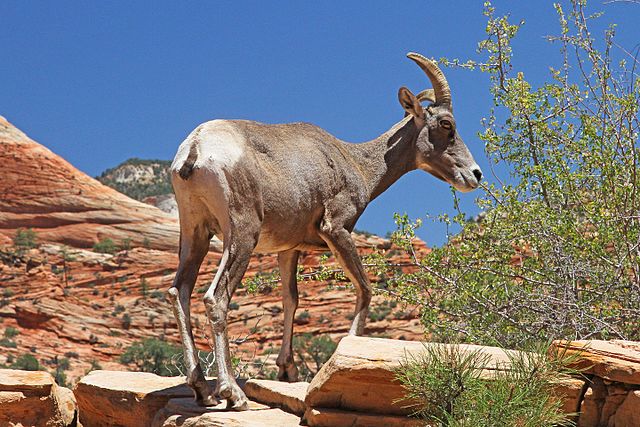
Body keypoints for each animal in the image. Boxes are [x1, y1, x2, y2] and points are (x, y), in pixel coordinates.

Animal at [168, 51, 482, 410]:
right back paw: (232, 393)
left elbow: (291, 299)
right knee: (215, 298)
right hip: (241, 237)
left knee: (179, 292)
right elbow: (365, 289)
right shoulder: (336, 230)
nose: (475, 174)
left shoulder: (288, 249)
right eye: (446, 125)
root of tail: (195, 148)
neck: (357, 163)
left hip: (195, 233)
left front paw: (287, 371)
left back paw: (201, 389)